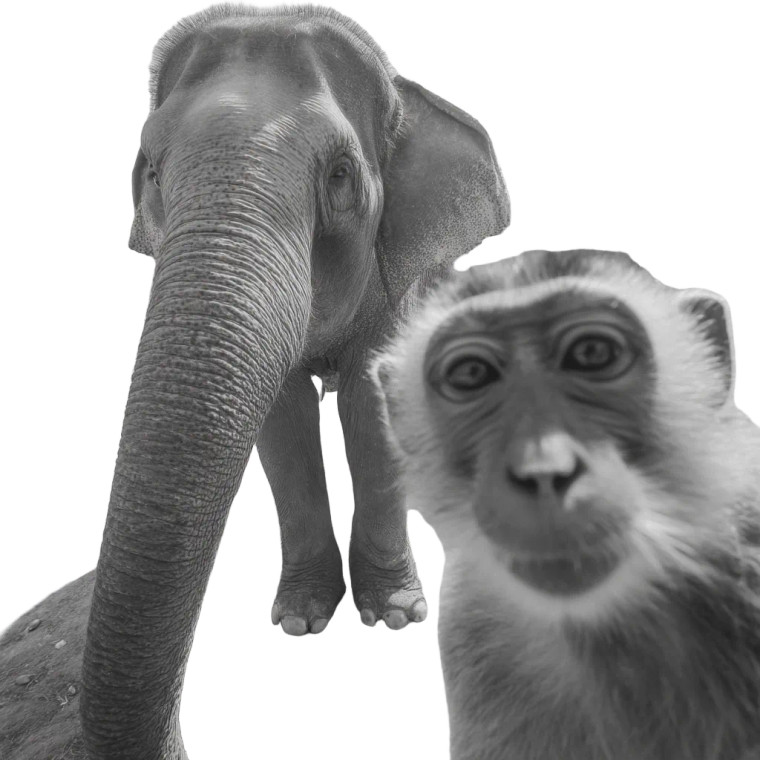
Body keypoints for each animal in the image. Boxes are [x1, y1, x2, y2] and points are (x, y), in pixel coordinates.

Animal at [0, 5, 508, 759]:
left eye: (340, 175)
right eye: (151, 171)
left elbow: (369, 400)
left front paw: (395, 616)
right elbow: (285, 414)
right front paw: (300, 621)